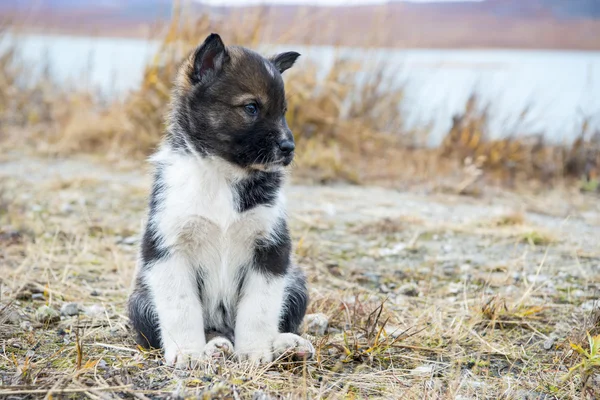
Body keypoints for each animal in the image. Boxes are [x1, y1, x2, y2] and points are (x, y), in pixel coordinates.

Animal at [126, 32, 314, 368]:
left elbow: (259, 309)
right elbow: (181, 307)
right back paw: (215, 347)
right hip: (140, 301)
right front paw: (188, 353)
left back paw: (287, 344)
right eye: (251, 107)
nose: (288, 148)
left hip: (296, 282)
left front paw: (254, 351)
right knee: (206, 329)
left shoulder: (271, 250)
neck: (222, 174)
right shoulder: (168, 248)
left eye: (283, 111)